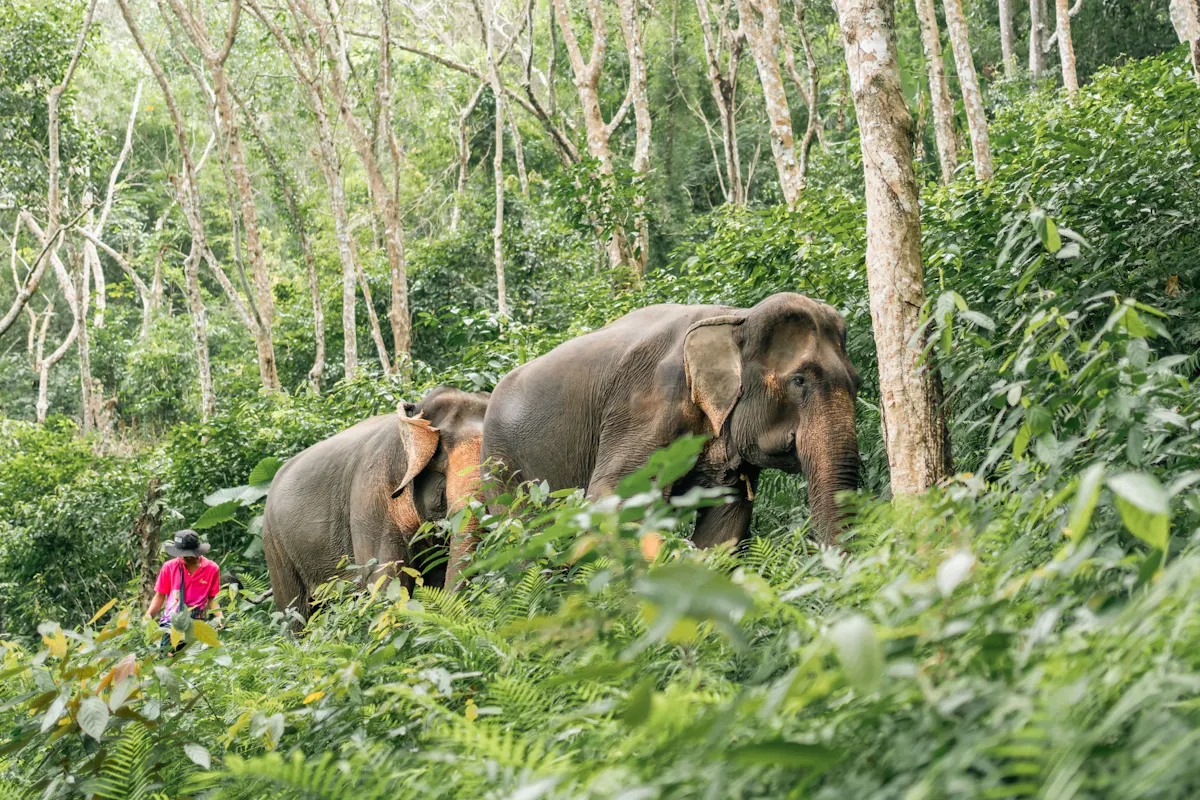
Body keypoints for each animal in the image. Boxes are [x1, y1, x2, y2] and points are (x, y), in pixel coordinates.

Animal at [482, 292, 860, 550]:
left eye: (855, 382)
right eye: (799, 381)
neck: (737, 318)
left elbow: (725, 524)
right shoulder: (645, 404)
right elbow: (615, 497)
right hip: (501, 465)